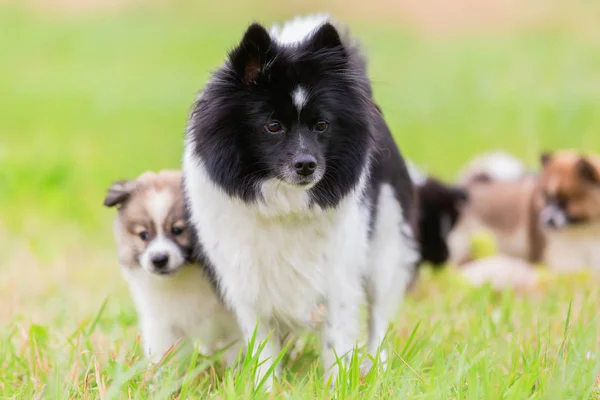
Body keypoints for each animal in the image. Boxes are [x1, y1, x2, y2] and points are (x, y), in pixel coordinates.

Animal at [182, 14, 418, 388]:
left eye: (321, 125)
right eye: (272, 126)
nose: (306, 164)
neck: (284, 202)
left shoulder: (339, 277)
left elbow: (338, 339)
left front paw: (337, 386)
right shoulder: (247, 283)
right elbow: (262, 346)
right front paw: (265, 389)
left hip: (386, 245)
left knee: (379, 317)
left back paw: (376, 367)